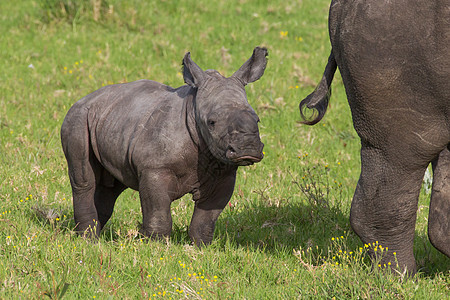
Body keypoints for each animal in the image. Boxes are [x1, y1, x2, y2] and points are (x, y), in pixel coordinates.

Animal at [62, 45, 268, 245]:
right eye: (211, 122)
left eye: (257, 120)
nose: (248, 149)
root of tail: (84, 98)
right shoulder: (155, 168)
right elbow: (158, 213)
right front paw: (156, 246)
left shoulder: (225, 173)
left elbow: (206, 218)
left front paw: (201, 247)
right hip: (77, 118)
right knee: (84, 180)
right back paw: (89, 241)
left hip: (114, 120)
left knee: (110, 187)